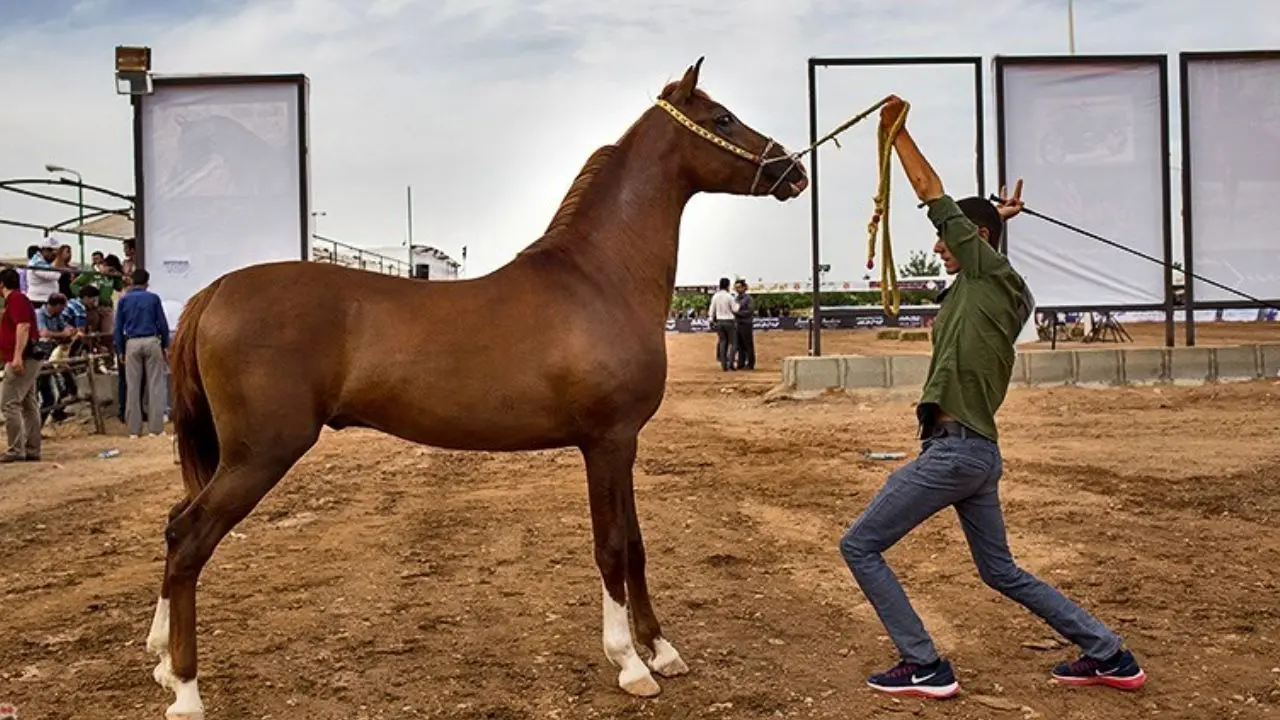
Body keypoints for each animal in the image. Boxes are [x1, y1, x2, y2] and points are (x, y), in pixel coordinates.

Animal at [147, 58, 808, 712]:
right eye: (722, 118)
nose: (793, 170)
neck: (600, 279)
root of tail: (216, 289)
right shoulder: (607, 442)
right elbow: (612, 547)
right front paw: (628, 663)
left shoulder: (623, 445)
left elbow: (638, 547)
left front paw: (662, 651)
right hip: (260, 454)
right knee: (187, 537)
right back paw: (186, 690)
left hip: (237, 456)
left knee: (176, 520)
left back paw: (160, 658)